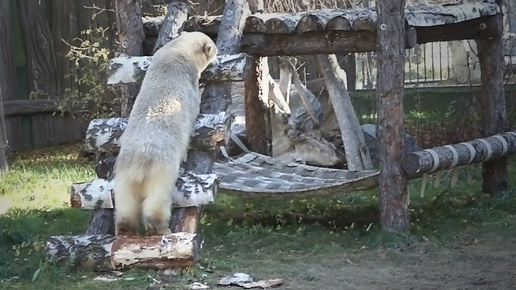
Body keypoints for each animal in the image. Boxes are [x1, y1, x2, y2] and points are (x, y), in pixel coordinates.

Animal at [113, 31, 218, 236]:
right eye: (214, 50)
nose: (217, 58)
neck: (178, 51)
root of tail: (140, 161)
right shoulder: (190, 80)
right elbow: (194, 107)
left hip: (123, 171)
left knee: (125, 201)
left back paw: (125, 228)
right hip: (161, 168)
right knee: (158, 197)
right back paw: (162, 228)